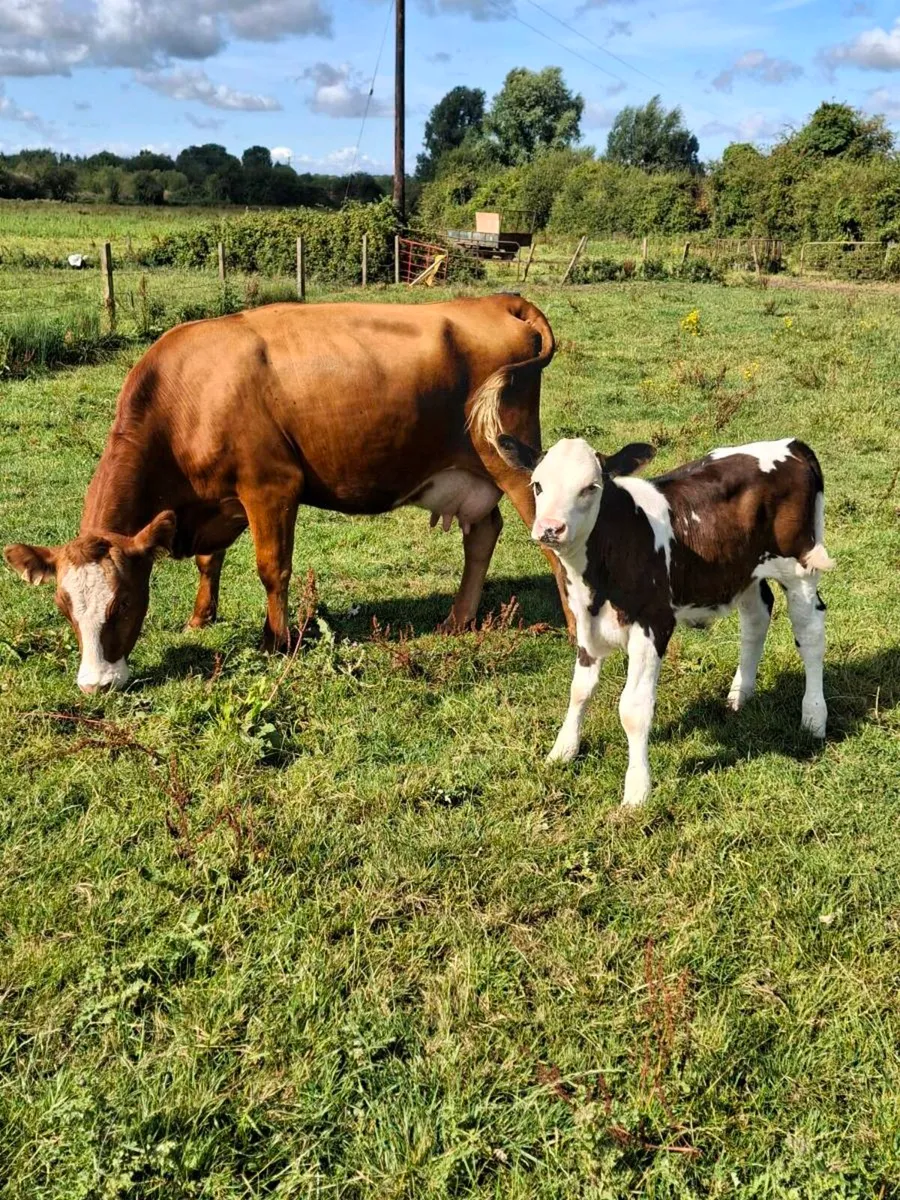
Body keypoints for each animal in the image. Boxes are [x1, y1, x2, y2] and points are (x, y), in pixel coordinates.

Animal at [4, 294, 574, 693]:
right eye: (62, 606)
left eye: (123, 603)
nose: (95, 685)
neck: (187, 393)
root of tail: (496, 300)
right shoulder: (221, 500)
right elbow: (210, 561)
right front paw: (200, 618)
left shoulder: (271, 485)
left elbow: (271, 568)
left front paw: (275, 641)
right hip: (475, 475)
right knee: (483, 534)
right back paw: (457, 620)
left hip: (513, 462)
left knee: (553, 546)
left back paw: (573, 628)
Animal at [494, 432, 835, 806]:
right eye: (537, 485)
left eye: (590, 487)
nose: (550, 529)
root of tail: (792, 444)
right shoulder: (584, 621)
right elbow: (579, 690)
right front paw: (563, 751)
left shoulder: (653, 624)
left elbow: (634, 709)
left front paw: (637, 790)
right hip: (740, 568)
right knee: (756, 618)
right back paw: (739, 696)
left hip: (799, 566)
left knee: (810, 632)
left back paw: (814, 717)